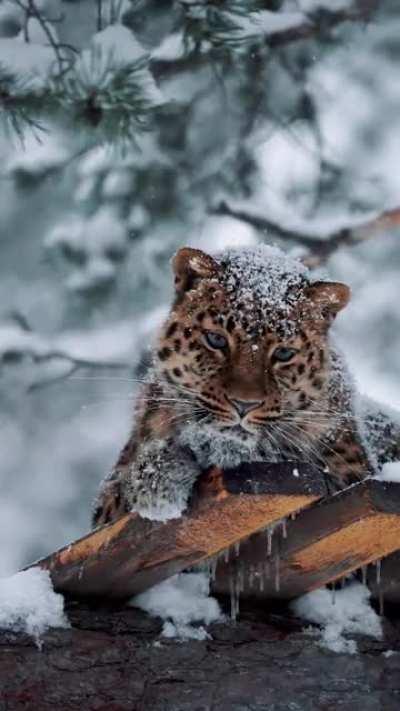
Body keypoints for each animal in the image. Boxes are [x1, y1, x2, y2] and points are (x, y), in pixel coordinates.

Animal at [92, 244, 400, 527]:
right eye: (216, 340)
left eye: (283, 354)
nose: (244, 404)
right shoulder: (106, 502)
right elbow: (119, 490)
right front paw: (154, 480)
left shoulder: (352, 472)